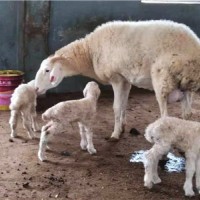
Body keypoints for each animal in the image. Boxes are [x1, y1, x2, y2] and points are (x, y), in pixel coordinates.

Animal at [34, 19, 200, 140]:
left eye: (47, 70)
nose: (36, 89)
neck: (89, 52)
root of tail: (194, 47)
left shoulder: (116, 78)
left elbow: (116, 107)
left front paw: (115, 134)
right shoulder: (125, 80)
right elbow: (124, 104)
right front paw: (122, 126)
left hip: (163, 80)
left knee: (165, 115)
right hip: (186, 84)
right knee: (187, 114)